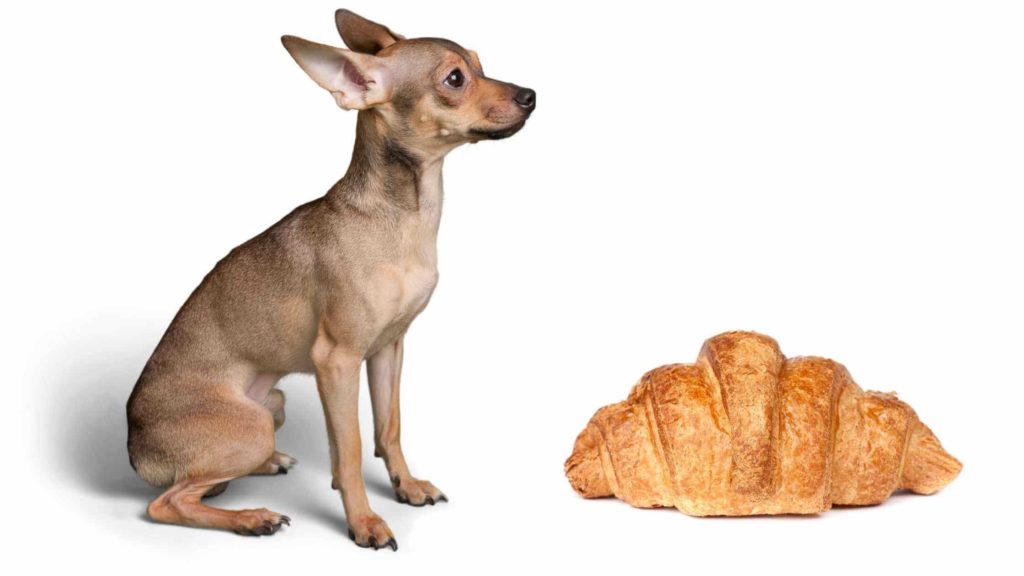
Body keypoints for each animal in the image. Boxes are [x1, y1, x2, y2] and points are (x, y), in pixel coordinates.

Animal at [125, 8, 536, 545]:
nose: (530, 95)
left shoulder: (387, 349)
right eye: (454, 79)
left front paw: (406, 486)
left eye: (481, 64)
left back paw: (269, 465)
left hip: (272, 404)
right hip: (251, 425)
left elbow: (388, 428)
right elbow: (352, 447)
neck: (401, 218)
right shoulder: (337, 363)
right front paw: (364, 522)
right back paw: (252, 517)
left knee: (203, 482)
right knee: (168, 502)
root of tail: (135, 450)